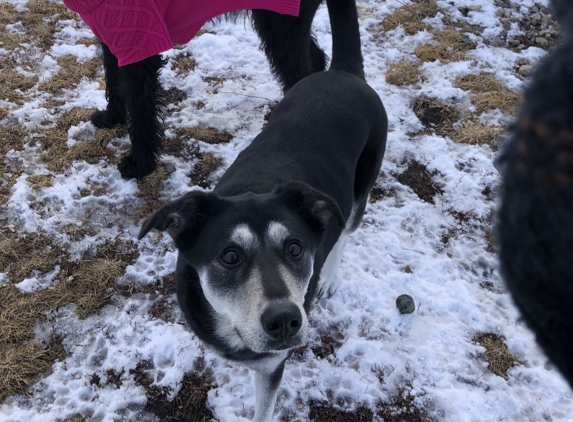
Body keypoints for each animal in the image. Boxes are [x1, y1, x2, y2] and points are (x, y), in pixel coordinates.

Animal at [86, 0, 326, 178]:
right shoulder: (112, 37)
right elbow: (113, 80)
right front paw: (111, 118)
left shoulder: (139, 45)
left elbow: (140, 111)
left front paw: (139, 163)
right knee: (316, 58)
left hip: (282, 29)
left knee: (300, 75)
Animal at [139, 0, 388, 418]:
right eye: (230, 256)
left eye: (295, 248)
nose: (285, 320)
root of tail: (343, 71)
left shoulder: (273, 364)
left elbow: (264, 409)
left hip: (362, 184)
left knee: (345, 231)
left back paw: (329, 276)